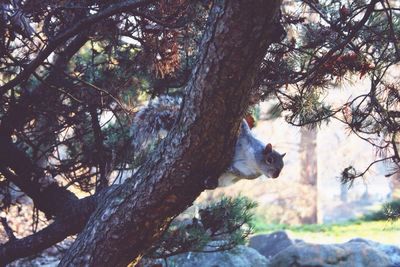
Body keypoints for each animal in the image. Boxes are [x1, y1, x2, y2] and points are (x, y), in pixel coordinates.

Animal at [131, 96, 284, 188]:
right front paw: (241, 124)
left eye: (282, 167)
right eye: (269, 159)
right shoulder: (246, 139)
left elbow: (239, 174)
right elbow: (244, 128)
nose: (276, 175)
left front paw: (231, 169)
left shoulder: (249, 174)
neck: (252, 160)